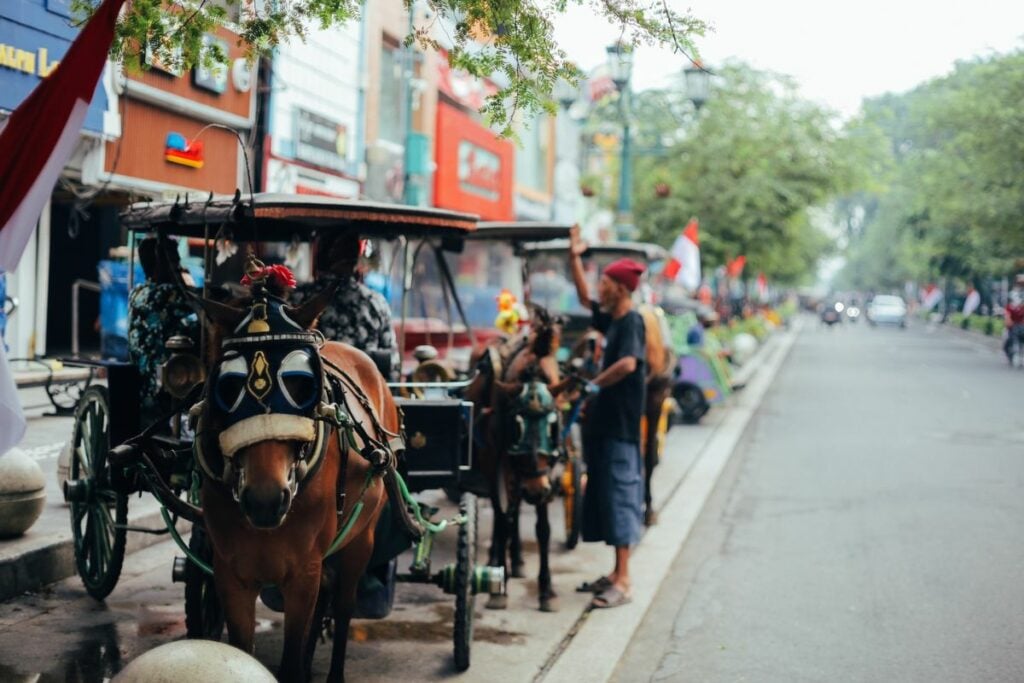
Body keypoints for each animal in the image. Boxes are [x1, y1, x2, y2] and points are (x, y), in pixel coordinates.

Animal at [192, 290, 399, 683]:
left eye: (301, 383)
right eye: (228, 385)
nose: (265, 500)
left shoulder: (303, 573)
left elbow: (289, 662)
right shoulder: (230, 573)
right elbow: (242, 653)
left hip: (361, 538)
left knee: (344, 604)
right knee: (327, 595)